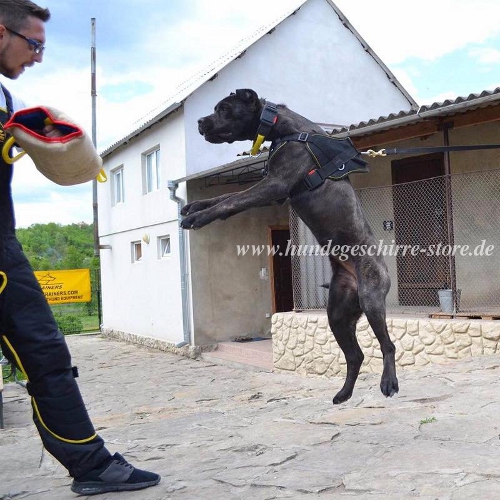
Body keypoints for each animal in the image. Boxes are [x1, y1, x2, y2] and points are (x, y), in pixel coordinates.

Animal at [181, 88, 398, 404]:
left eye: (223, 108)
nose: (199, 122)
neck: (285, 130)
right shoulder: (270, 189)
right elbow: (226, 196)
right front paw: (196, 205)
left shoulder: (274, 185)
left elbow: (231, 200)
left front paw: (198, 217)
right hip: (337, 313)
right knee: (355, 356)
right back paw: (343, 393)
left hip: (371, 300)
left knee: (388, 345)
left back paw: (389, 383)